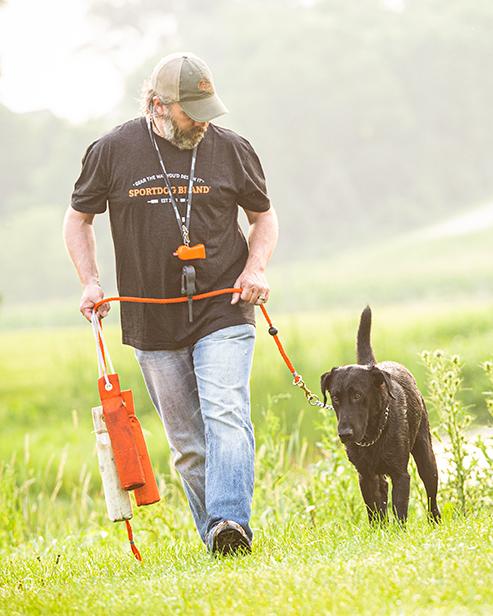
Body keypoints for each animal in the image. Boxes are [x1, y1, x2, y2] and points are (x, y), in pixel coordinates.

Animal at [320, 308, 440, 524]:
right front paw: (380, 531)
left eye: (357, 395)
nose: (345, 434)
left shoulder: (400, 474)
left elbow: (399, 512)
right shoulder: (365, 476)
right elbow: (374, 513)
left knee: (431, 492)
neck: (373, 435)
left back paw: (435, 520)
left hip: (426, 455)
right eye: (335, 398)